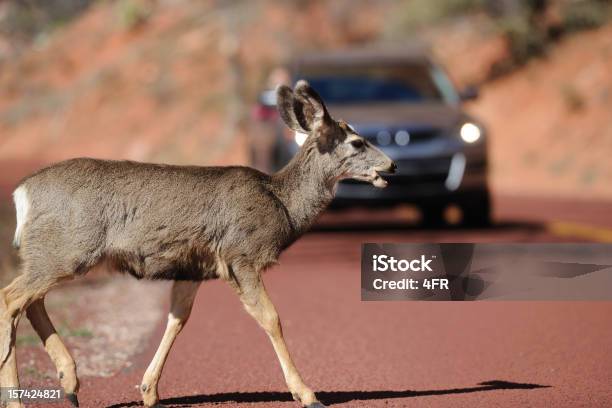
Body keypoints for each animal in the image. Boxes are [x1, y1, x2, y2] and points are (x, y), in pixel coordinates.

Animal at [0, 80, 396, 408]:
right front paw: (308, 394)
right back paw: (18, 399)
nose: (391, 166)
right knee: (11, 298)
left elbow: (177, 319)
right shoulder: (240, 255)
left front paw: (149, 392)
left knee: (31, 302)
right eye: (357, 142)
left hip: (52, 254)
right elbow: (271, 318)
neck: (282, 203)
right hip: (66, 250)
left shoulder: (193, 268)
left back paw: (69, 381)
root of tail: (22, 193)